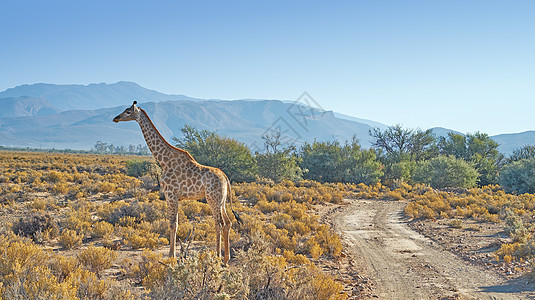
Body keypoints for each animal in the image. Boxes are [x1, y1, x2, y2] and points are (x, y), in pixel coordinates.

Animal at [114, 101, 242, 264]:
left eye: (128, 112)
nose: (116, 118)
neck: (164, 161)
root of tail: (225, 177)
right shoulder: (174, 196)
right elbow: (175, 223)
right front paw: (173, 255)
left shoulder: (171, 195)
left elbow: (172, 224)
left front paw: (171, 257)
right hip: (222, 200)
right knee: (228, 222)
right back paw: (226, 259)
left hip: (212, 198)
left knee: (219, 223)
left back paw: (217, 257)